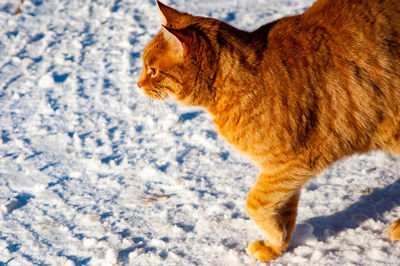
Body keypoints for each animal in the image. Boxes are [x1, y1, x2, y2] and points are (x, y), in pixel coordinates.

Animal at [138, 0, 400, 262]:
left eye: (153, 70)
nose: (138, 84)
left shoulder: (295, 161)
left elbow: (254, 203)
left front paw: (274, 236)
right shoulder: (281, 171)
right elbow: (281, 207)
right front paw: (277, 245)